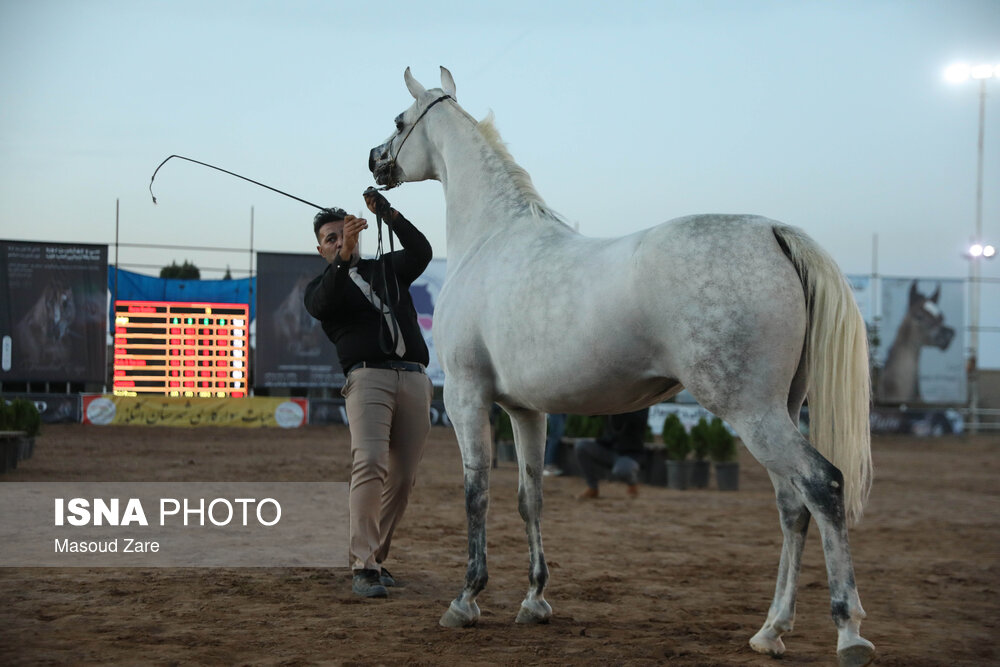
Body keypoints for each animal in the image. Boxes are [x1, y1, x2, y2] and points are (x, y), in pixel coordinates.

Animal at [370, 68, 876, 667]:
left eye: (399, 120)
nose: (375, 160)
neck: (490, 240)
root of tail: (773, 232)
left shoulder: (466, 396)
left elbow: (477, 493)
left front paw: (466, 599)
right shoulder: (525, 410)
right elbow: (529, 497)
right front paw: (535, 600)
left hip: (751, 412)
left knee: (822, 485)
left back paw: (849, 633)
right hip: (780, 409)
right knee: (791, 506)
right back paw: (771, 629)